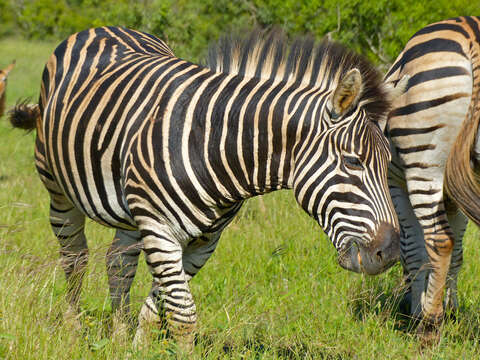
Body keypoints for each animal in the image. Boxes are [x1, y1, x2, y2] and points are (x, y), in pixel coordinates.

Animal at [9, 26, 404, 348]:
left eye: (388, 163)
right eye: (353, 162)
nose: (389, 254)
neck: (217, 149)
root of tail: (104, 27)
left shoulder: (203, 241)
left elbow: (161, 307)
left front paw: (136, 348)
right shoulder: (161, 229)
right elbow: (184, 316)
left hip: (130, 206)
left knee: (118, 262)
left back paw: (118, 335)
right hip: (58, 189)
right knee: (75, 258)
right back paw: (73, 329)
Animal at [384, 16, 480, 338]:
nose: (402, 303)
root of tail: (470, 32)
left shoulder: (397, 186)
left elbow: (415, 252)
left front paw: (420, 310)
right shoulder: (457, 194)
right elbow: (459, 255)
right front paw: (451, 308)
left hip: (423, 164)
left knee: (439, 240)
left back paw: (430, 323)